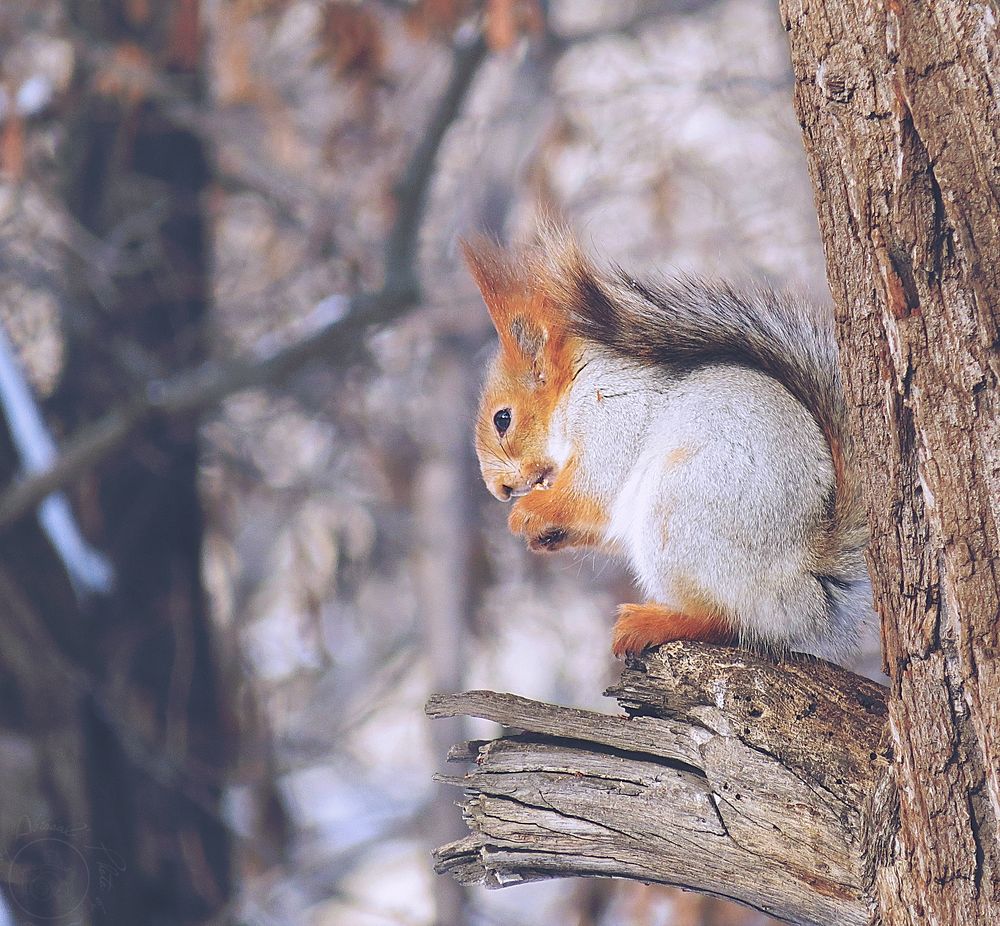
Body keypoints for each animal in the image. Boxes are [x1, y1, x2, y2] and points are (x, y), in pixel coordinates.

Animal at [464, 227, 872, 664]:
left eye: (503, 419)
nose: (499, 490)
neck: (575, 389)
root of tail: (807, 586)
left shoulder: (613, 419)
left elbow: (591, 491)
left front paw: (527, 513)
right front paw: (541, 533)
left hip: (679, 517)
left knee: (729, 621)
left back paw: (654, 622)